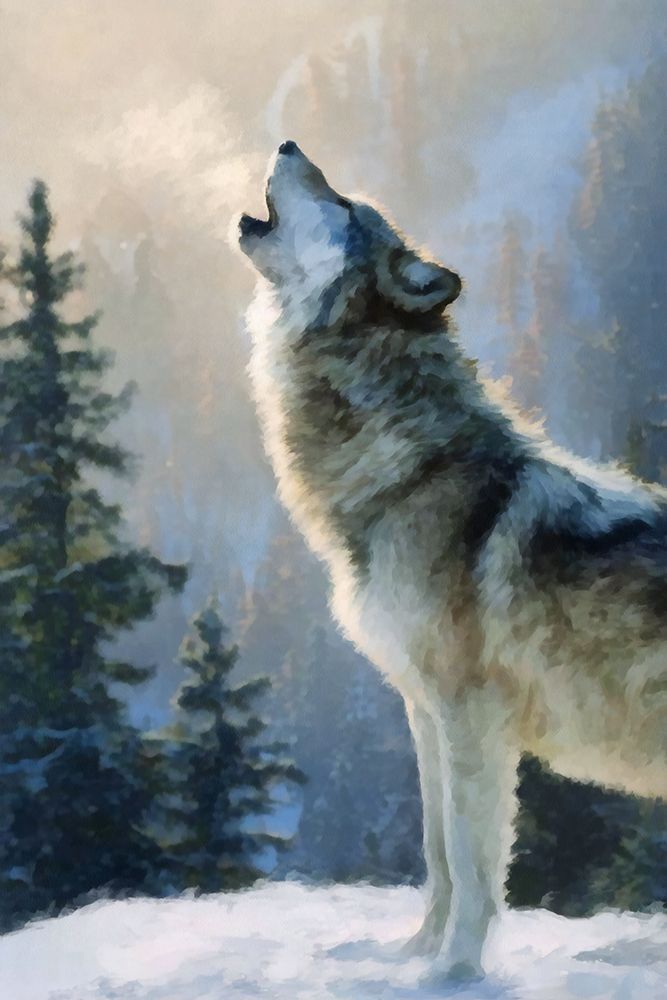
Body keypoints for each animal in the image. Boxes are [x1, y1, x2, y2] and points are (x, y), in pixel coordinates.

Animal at [238, 140, 667, 980]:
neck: (413, 469)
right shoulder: (423, 711)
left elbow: (471, 865)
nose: (289, 144)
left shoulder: (471, 716)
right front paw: (411, 958)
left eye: (344, 204)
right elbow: (436, 857)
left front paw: (455, 975)